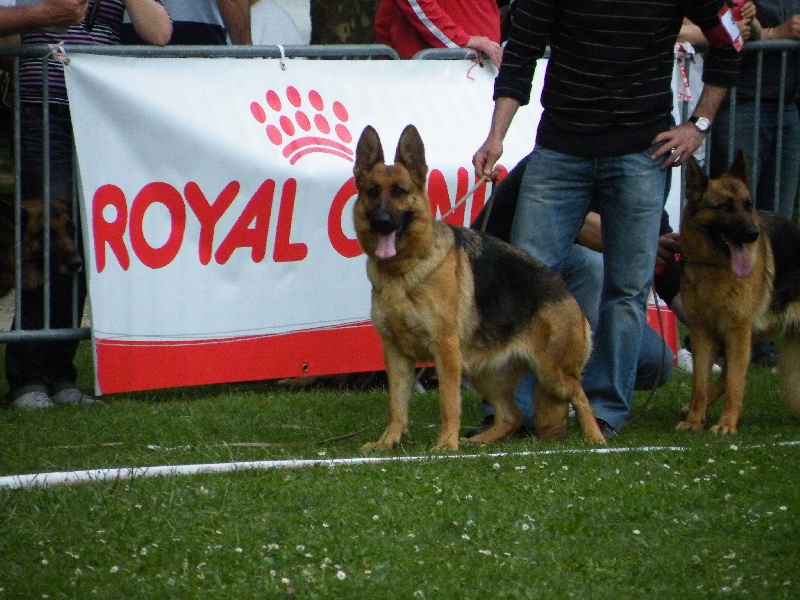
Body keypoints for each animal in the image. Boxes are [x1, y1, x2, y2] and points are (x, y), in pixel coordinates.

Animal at [352, 125, 608, 450]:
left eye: (399, 191)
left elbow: (448, 402)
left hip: (551, 374)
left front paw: (445, 445)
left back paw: (596, 437)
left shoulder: (446, 349)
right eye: (372, 191)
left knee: (581, 397)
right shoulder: (395, 354)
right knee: (512, 417)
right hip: (484, 373)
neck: (404, 269)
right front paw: (387, 443)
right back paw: (478, 441)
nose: (383, 222)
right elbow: (396, 406)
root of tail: (567, 293)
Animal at [676, 149, 800, 432]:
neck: (716, 267)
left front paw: (726, 424)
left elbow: (735, 383)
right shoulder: (702, 333)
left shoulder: (738, 331)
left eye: (749, 204)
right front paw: (694, 420)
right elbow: (701, 383)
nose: (753, 234)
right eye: (725, 207)